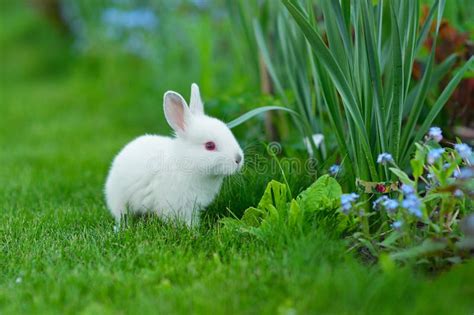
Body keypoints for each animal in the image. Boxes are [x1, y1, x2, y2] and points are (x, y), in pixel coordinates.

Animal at [105, 84, 243, 227]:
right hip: (119, 200)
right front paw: (192, 229)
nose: (238, 159)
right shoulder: (178, 205)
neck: (186, 163)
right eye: (209, 145)